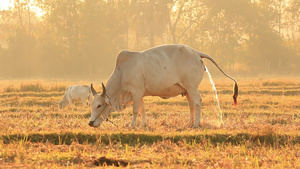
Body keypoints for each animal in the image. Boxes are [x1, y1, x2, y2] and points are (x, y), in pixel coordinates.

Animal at [88, 44, 238, 127]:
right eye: (91, 105)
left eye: (99, 105)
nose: (90, 123)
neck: (122, 72)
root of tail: (196, 53)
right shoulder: (140, 93)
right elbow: (142, 109)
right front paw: (143, 124)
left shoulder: (136, 91)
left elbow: (135, 110)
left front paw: (132, 125)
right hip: (187, 90)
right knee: (191, 105)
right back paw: (190, 123)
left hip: (192, 87)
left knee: (197, 102)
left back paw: (196, 124)